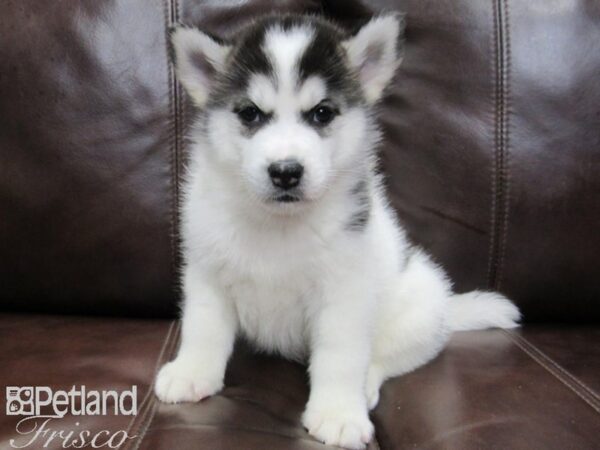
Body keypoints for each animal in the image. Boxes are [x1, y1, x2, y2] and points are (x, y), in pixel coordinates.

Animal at [155, 14, 520, 450]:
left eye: (322, 113)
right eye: (250, 114)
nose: (285, 172)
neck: (279, 224)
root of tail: (448, 308)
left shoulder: (344, 293)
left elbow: (340, 356)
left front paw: (337, 413)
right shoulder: (208, 274)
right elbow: (203, 329)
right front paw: (191, 373)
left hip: (420, 309)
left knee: (386, 359)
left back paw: (364, 387)